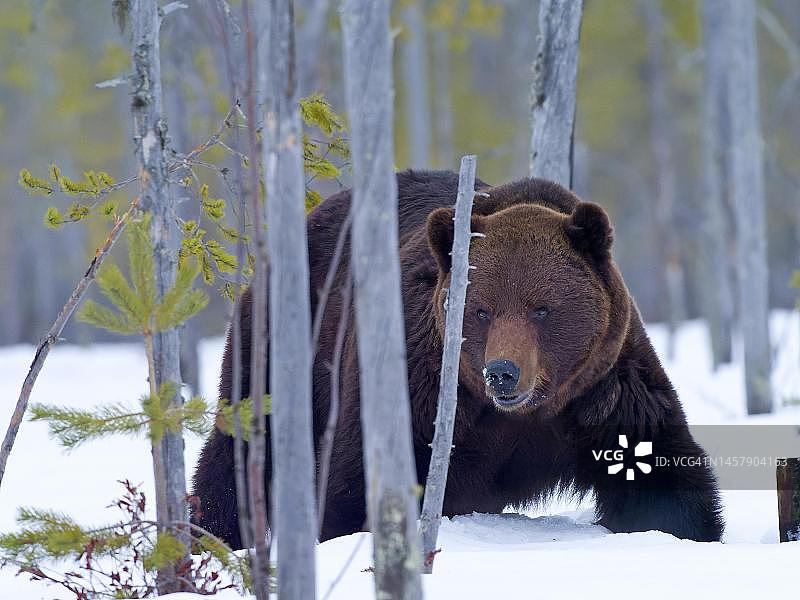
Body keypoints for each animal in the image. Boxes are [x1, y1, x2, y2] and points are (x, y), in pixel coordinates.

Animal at [192, 170, 724, 548]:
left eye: (541, 307)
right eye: (481, 309)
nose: (503, 373)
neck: (521, 415)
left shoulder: (605, 385)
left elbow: (658, 475)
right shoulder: (419, 382)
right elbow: (355, 481)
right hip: (286, 341)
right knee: (239, 445)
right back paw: (213, 533)